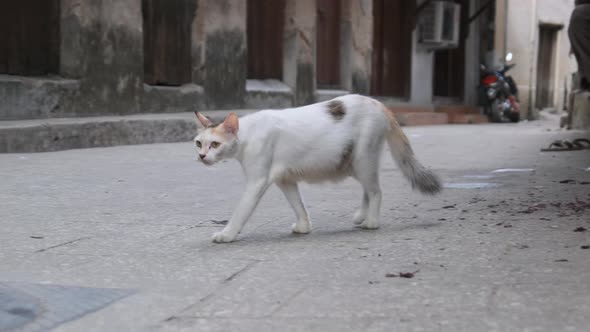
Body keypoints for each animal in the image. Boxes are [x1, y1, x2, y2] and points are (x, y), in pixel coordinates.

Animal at [197, 94, 442, 243]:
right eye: (199, 143)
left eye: (215, 144)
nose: (201, 156)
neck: (247, 135)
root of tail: (377, 103)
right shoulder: (285, 180)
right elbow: (298, 205)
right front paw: (304, 226)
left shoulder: (257, 182)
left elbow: (240, 212)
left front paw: (227, 234)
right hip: (354, 164)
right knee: (368, 189)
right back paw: (362, 216)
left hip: (363, 160)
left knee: (375, 191)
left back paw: (372, 221)